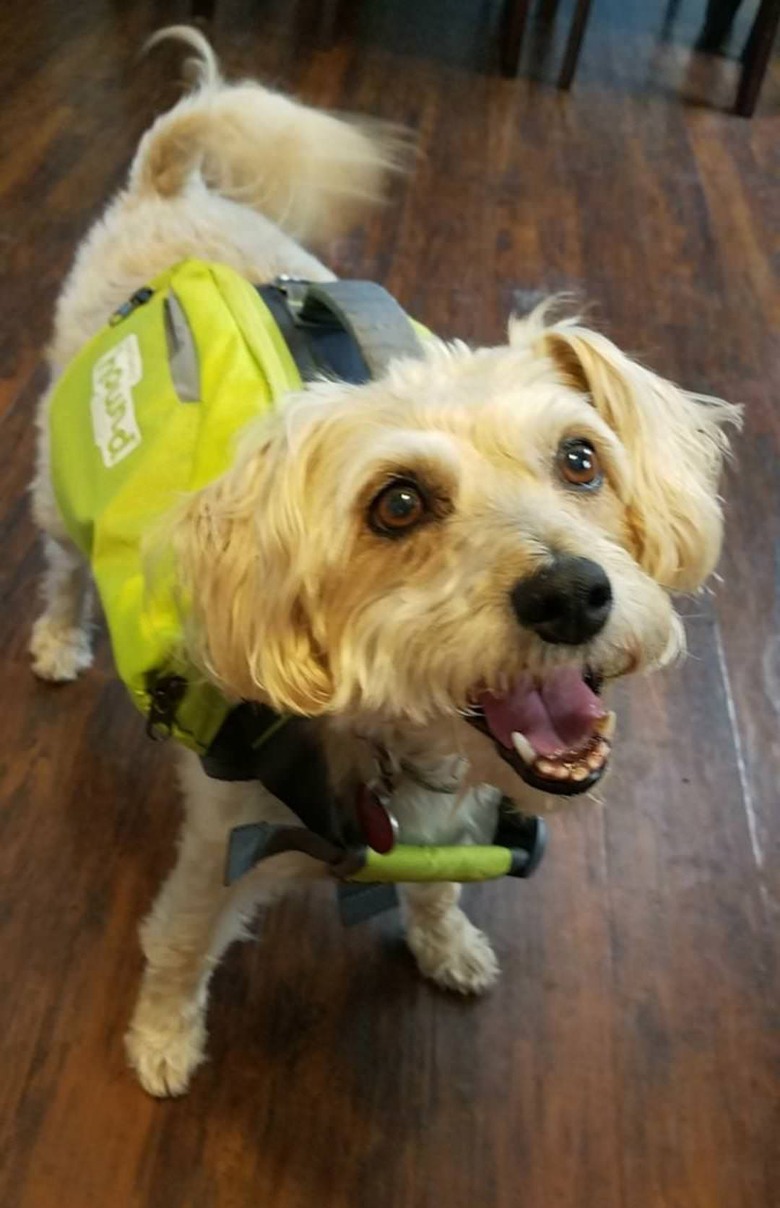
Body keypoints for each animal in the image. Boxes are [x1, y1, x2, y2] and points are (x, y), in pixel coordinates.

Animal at [27, 28, 743, 1101]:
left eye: (582, 458)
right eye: (397, 504)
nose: (573, 595)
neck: (403, 752)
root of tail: (169, 188)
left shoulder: (457, 831)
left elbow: (438, 898)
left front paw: (447, 947)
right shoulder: (218, 857)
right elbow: (182, 949)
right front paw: (161, 1042)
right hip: (59, 485)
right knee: (63, 566)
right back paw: (57, 638)